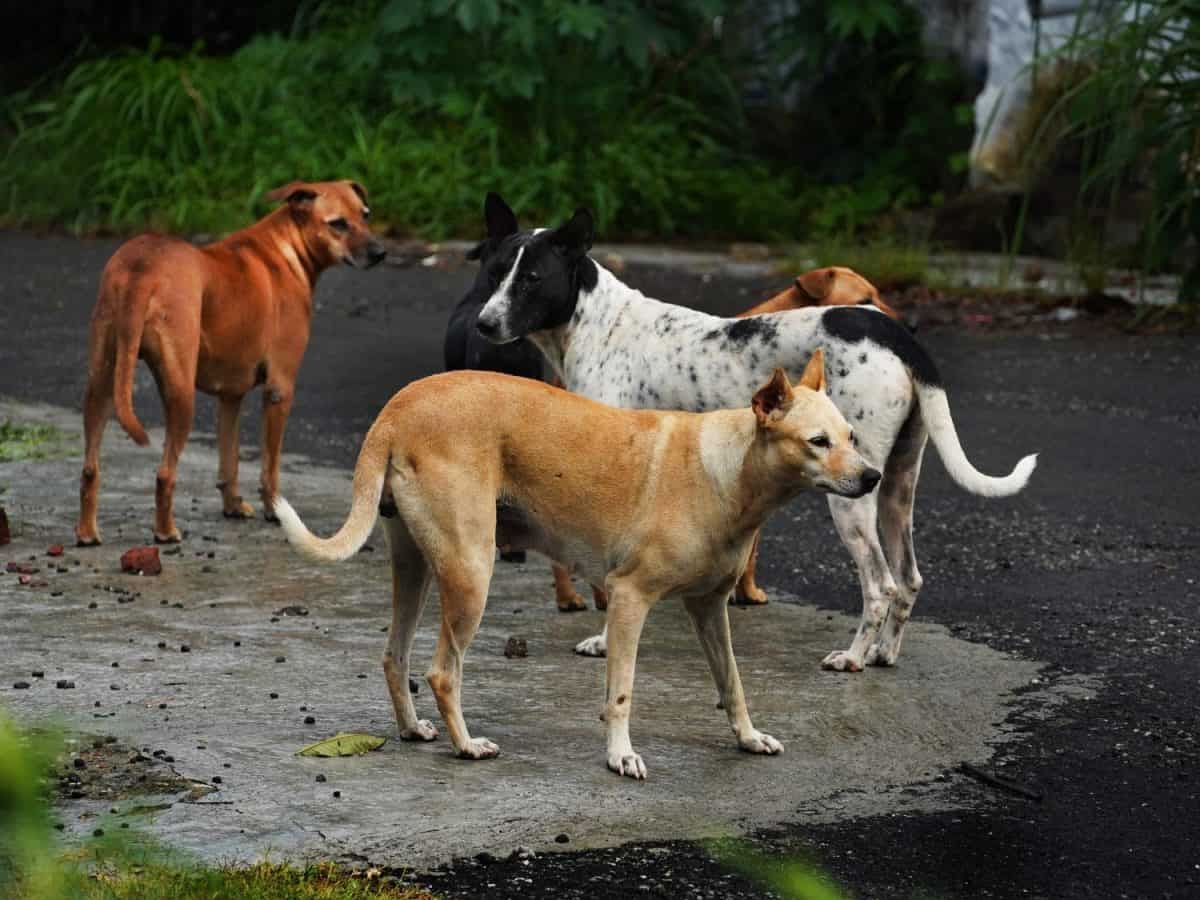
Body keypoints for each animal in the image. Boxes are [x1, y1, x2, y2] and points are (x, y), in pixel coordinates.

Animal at [76, 181, 384, 547]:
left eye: (365, 215)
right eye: (337, 224)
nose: (380, 253)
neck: (286, 247)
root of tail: (142, 267)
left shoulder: (230, 396)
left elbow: (229, 460)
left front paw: (233, 505)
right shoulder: (280, 390)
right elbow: (270, 467)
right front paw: (274, 510)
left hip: (101, 384)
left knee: (90, 469)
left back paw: (87, 532)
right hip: (180, 395)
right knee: (164, 474)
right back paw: (166, 532)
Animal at [274, 355, 883, 777]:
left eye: (852, 437)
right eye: (817, 441)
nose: (874, 476)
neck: (727, 470)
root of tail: (396, 410)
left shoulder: (709, 608)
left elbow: (731, 682)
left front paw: (748, 738)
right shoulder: (631, 599)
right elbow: (622, 693)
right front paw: (620, 756)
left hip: (418, 571)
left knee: (394, 656)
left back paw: (411, 730)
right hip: (471, 574)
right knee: (442, 672)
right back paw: (466, 745)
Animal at [472, 199, 1036, 676]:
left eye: (533, 279)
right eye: (495, 274)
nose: (484, 324)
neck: (598, 323)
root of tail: (895, 333)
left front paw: (607, 641)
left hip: (853, 495)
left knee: (881, 585)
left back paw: (853, 658)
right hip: (897, 485)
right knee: (910, 579)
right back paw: (883, 653)